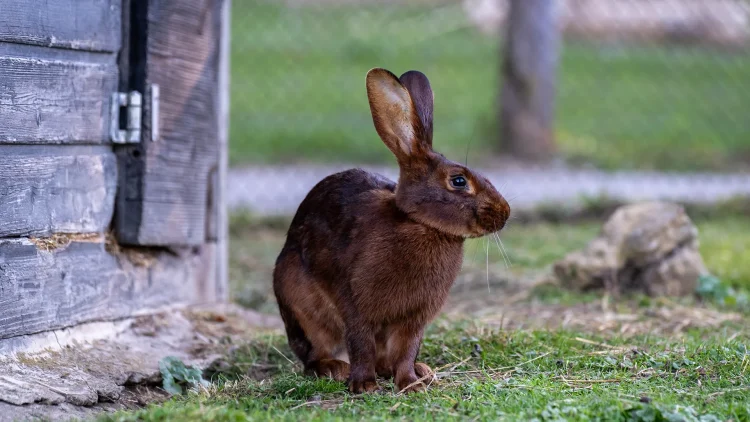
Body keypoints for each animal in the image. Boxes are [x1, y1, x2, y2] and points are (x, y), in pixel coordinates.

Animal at [273, 68, 510, 394]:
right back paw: (335, 368)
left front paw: (411, 384)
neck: (420, 223)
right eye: (459, 181)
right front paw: (364, 386)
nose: (505, 213)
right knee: (315, 354)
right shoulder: (355, 305)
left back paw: (423, 371)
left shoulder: (413, 320)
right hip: (303, 310)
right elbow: (361, 343)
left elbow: (406, 350)